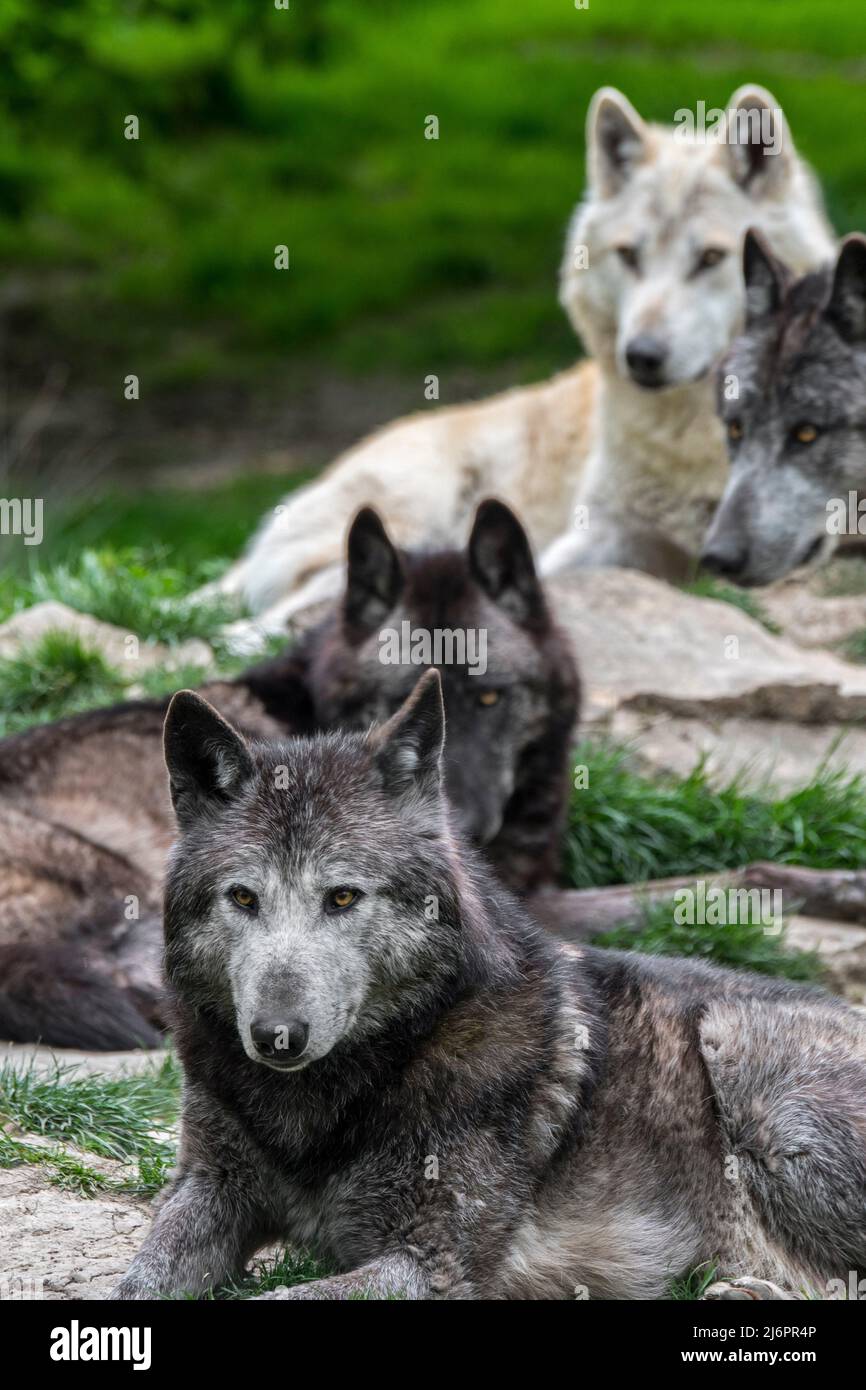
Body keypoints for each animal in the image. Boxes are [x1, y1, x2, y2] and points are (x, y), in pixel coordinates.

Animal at [115, 675, 866, 1301]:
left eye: (343, 896)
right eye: (243, 897)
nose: (278, 1036)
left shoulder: (434, 1262)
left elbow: (279, 1299)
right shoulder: (207, 1188)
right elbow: (137, 1280)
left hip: (742, 1060)